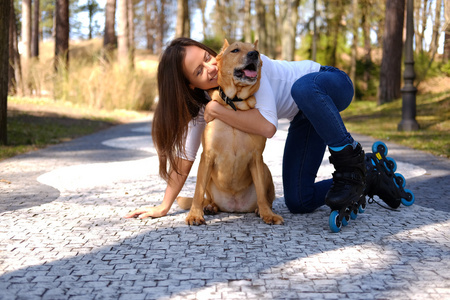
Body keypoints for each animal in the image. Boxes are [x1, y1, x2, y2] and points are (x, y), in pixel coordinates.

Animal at [182, 39, 282, 225]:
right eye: (235, 50)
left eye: (256, 51)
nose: (254, 54)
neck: (234, 104)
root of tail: (234, 208)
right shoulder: (207, 157)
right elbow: (198, 192)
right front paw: (195, 214)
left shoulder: (256, 158)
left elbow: (261, 193)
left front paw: (268, 214)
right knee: (208, 198)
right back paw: (211, 207)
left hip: (265, 170)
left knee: (265, 197)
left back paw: (261, 209)